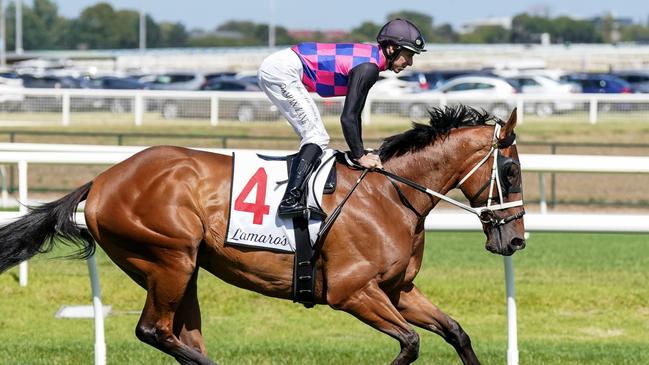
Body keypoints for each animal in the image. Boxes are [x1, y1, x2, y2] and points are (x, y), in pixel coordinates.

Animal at [0, 104, 528, 362]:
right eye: (513, 170)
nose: (516, 241)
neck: (391, 195)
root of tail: (104, 179)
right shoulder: (352, 292)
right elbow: (411, 343)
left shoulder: (398, 290)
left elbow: (456, 332)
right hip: (168, 258)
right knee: (154, 330)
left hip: (184, 268)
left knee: (183, 336)